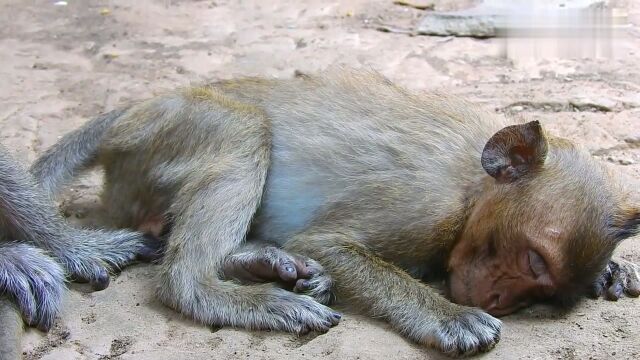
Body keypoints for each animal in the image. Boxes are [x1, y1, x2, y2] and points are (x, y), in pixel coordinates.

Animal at [30, 69, 640, 356]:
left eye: (542, 290)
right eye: (530, 260)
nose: (499, 302)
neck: (473, 184)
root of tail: (128, 113)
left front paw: (611, 271)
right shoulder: (424, 204)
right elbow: (325, 242)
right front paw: (450, 316)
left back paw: (266, 265)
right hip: (163, 132)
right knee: (242, 130)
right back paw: (219, 289)